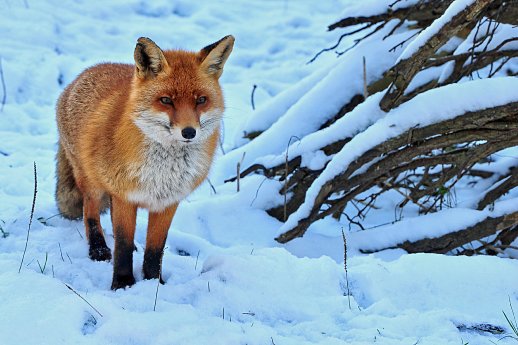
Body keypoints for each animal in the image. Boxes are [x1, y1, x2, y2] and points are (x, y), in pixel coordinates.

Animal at [55, 35, 235, 288]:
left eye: (201, 100)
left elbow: (155, 250)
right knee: (89, 211)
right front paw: (122, 284)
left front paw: (153, 283)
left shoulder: (167, 202)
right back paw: (98, 249)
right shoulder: (124, 196)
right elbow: (122, 245)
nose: (189, 132)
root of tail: (85, 73)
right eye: (166, 100)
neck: (162, 172)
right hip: (91, 182)